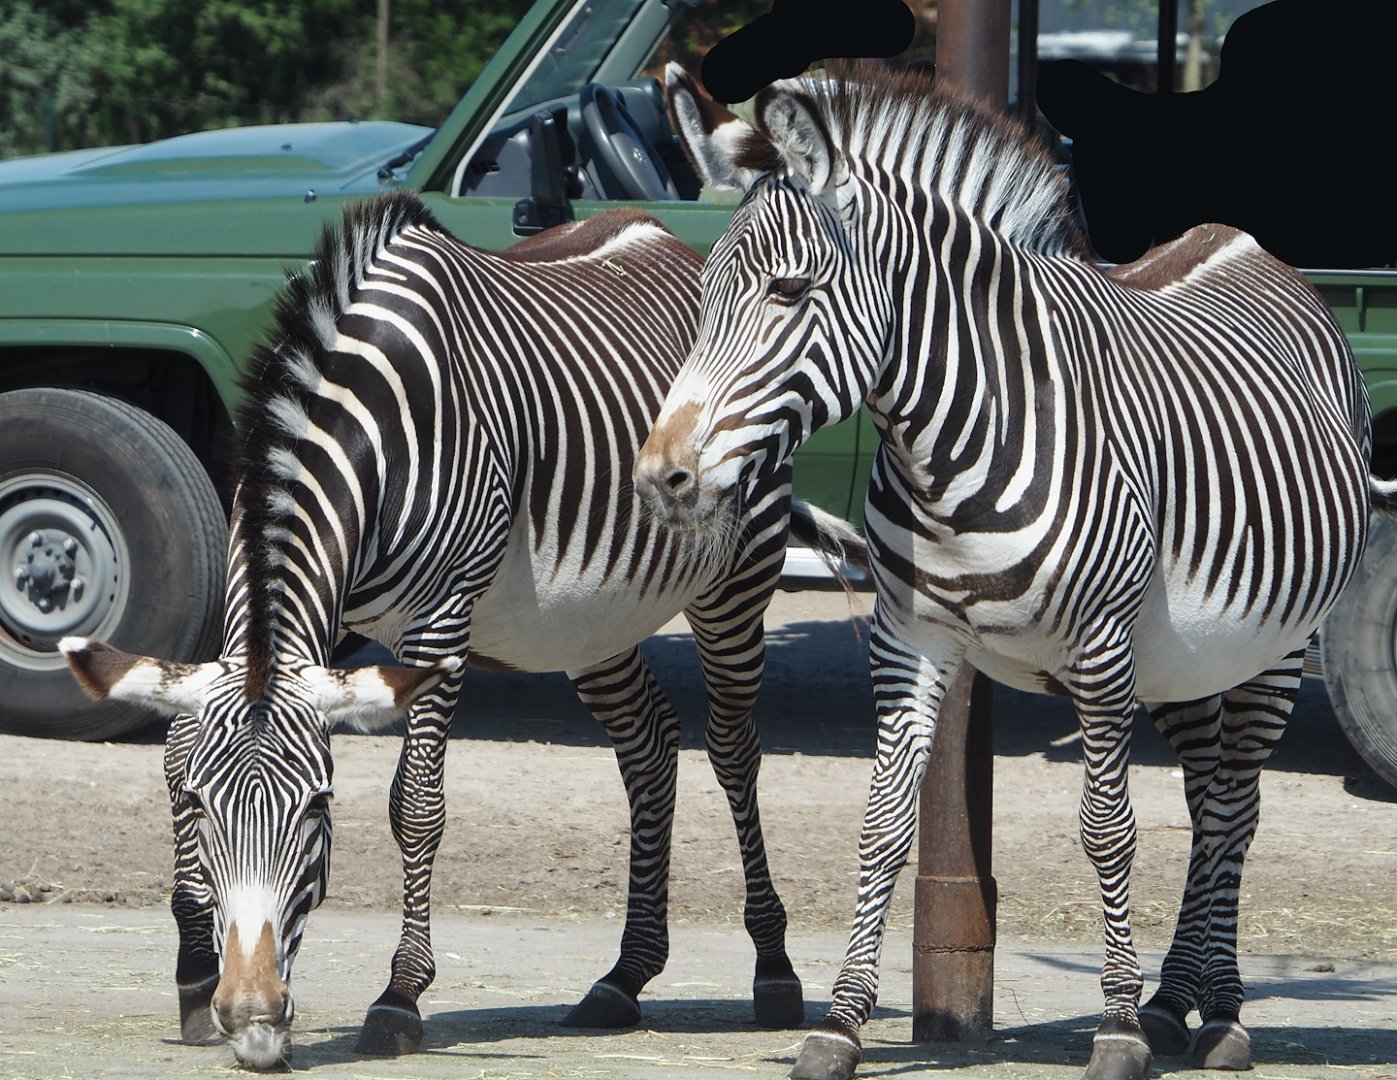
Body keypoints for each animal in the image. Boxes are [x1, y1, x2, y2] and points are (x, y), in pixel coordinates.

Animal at [61, 190, 864, 1070]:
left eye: (318, 810)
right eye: (200, 809)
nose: (253, 1016)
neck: (365, 425)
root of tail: (664, 237)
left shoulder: (439, 621)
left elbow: (415, 805)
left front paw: (399, 995)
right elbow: (175, 751)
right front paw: (194, 975)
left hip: (738, 576)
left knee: (731, 752)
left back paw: (773, 969)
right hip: (588, 619)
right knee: (649, 746)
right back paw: (624, 977)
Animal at [635, 63, 1395, 1080]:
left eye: (789, 292)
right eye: (704, 293)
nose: (660, 476)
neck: (954, 444)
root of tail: (1237, 240)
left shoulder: (1102, 650)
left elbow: (1107, 829)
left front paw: (1113, 1030)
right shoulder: (908, 638)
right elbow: (884, 825)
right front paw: (838, 1024)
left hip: (1274, 644)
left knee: (1235, 807)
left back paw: (1222, 1013)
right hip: (1186, 658)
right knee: (1205, 803)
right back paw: (1174, 1003)